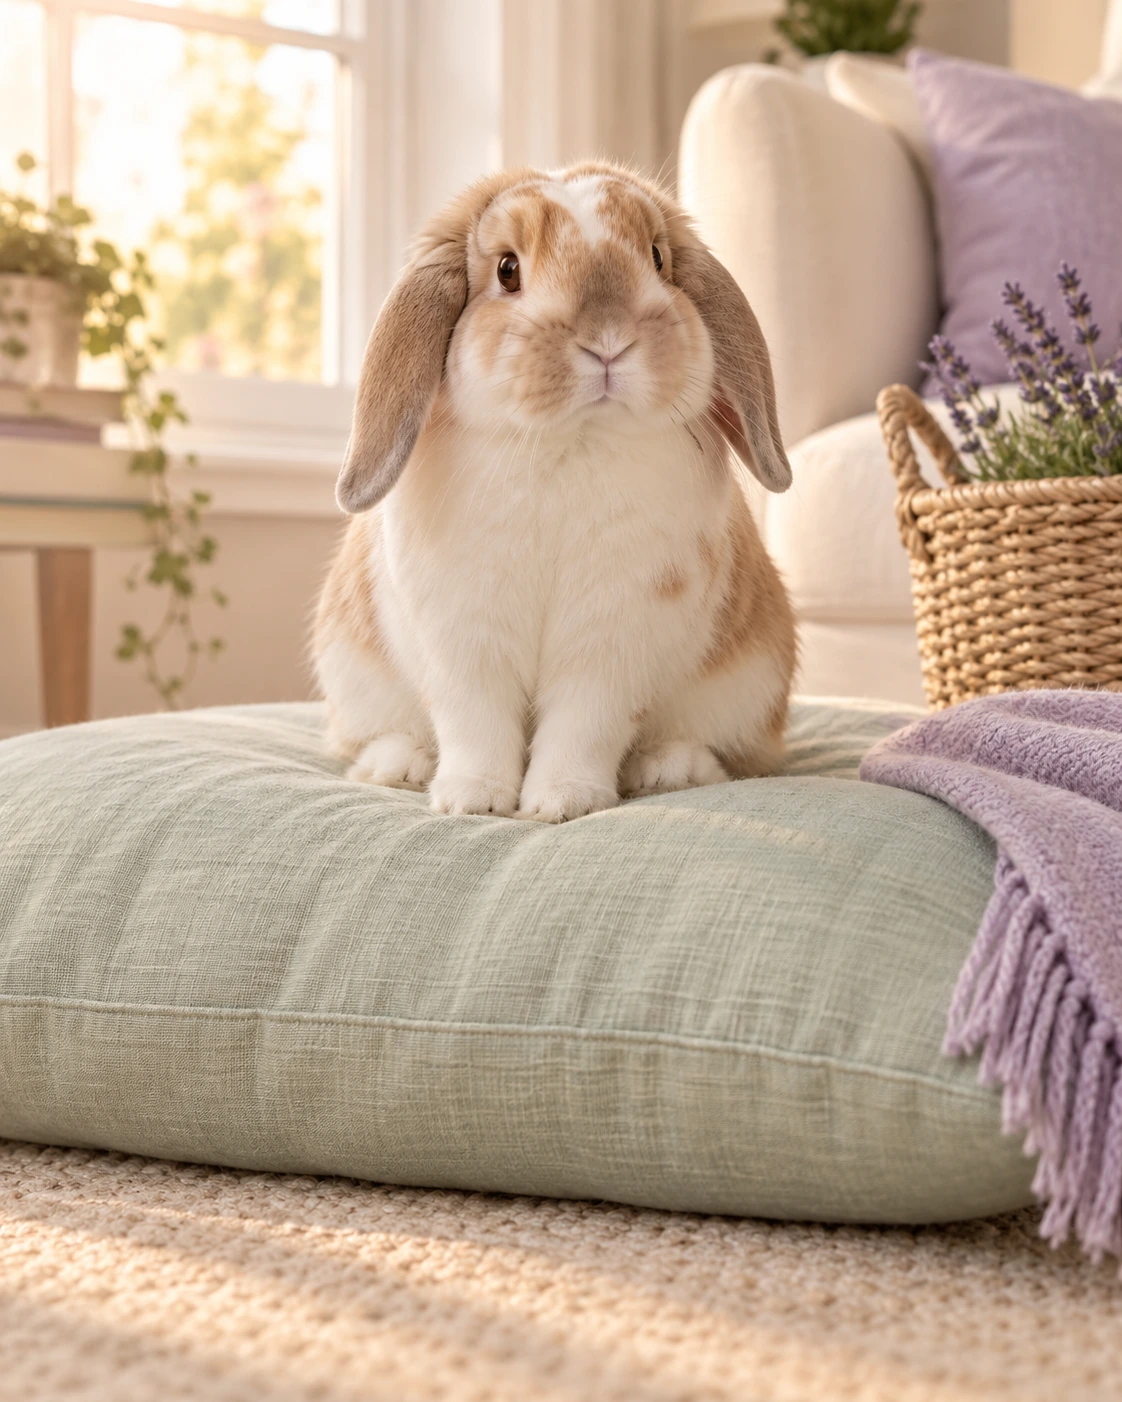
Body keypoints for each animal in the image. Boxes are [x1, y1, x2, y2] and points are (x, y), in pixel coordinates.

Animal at [314, 161, 797, 821]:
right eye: (507, 269)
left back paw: (668, 769)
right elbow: (474, 722)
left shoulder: (613, 646)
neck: (569, 442)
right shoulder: (464, 641)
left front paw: (562, 803)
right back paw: (400, 764)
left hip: (744, 695)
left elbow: (583, 725)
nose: (609, 338)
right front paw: (475, 800)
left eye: (657, 258)